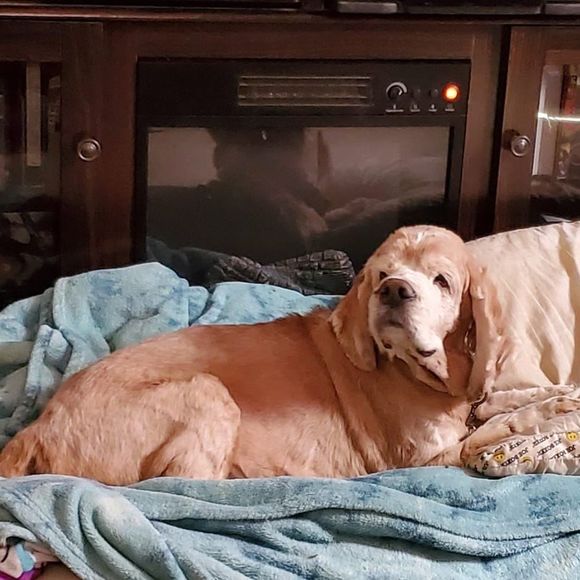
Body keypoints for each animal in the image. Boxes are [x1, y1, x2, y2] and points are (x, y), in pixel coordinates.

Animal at [0, 225, 508, 485]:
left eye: (442, 281)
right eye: (383, 272)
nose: (394, 290)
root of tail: (37, 428)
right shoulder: (419, 457)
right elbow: (480, 439)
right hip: (208, 392)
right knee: (180, 485)